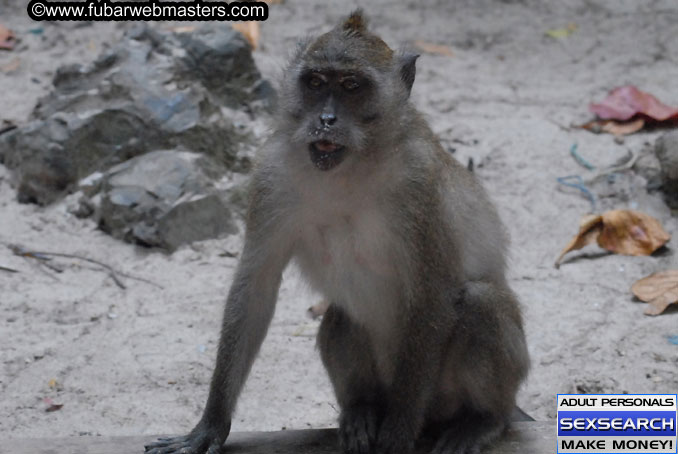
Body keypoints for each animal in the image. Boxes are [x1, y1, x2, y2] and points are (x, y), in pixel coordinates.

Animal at [147, 10, 532, 454]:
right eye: (315, 83)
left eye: (351, 86)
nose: (325, 120)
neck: (352, 166)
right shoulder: (271, 175)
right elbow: (256, 285)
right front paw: (211, 424)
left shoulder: (420, 185)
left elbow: (433, 296)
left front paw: (398, 436)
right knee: (341, 316)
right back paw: (362, 410)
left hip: (450, 394)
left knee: (481, 303)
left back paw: (482, 419)